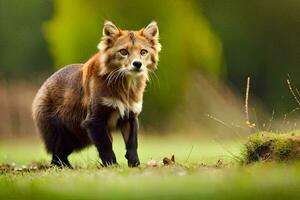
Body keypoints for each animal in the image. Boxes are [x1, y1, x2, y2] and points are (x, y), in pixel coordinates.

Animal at [31, 20, 161, 167]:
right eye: (123, 51)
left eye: (143, 52)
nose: (137, 64)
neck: (124, 85)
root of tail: (43, 85)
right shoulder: (94, 120)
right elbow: (105, 146)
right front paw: (111, 165)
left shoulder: (130, 116)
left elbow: (132, 142)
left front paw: (134, 164)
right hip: (66, 133)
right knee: (57, 154)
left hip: (77, 137)